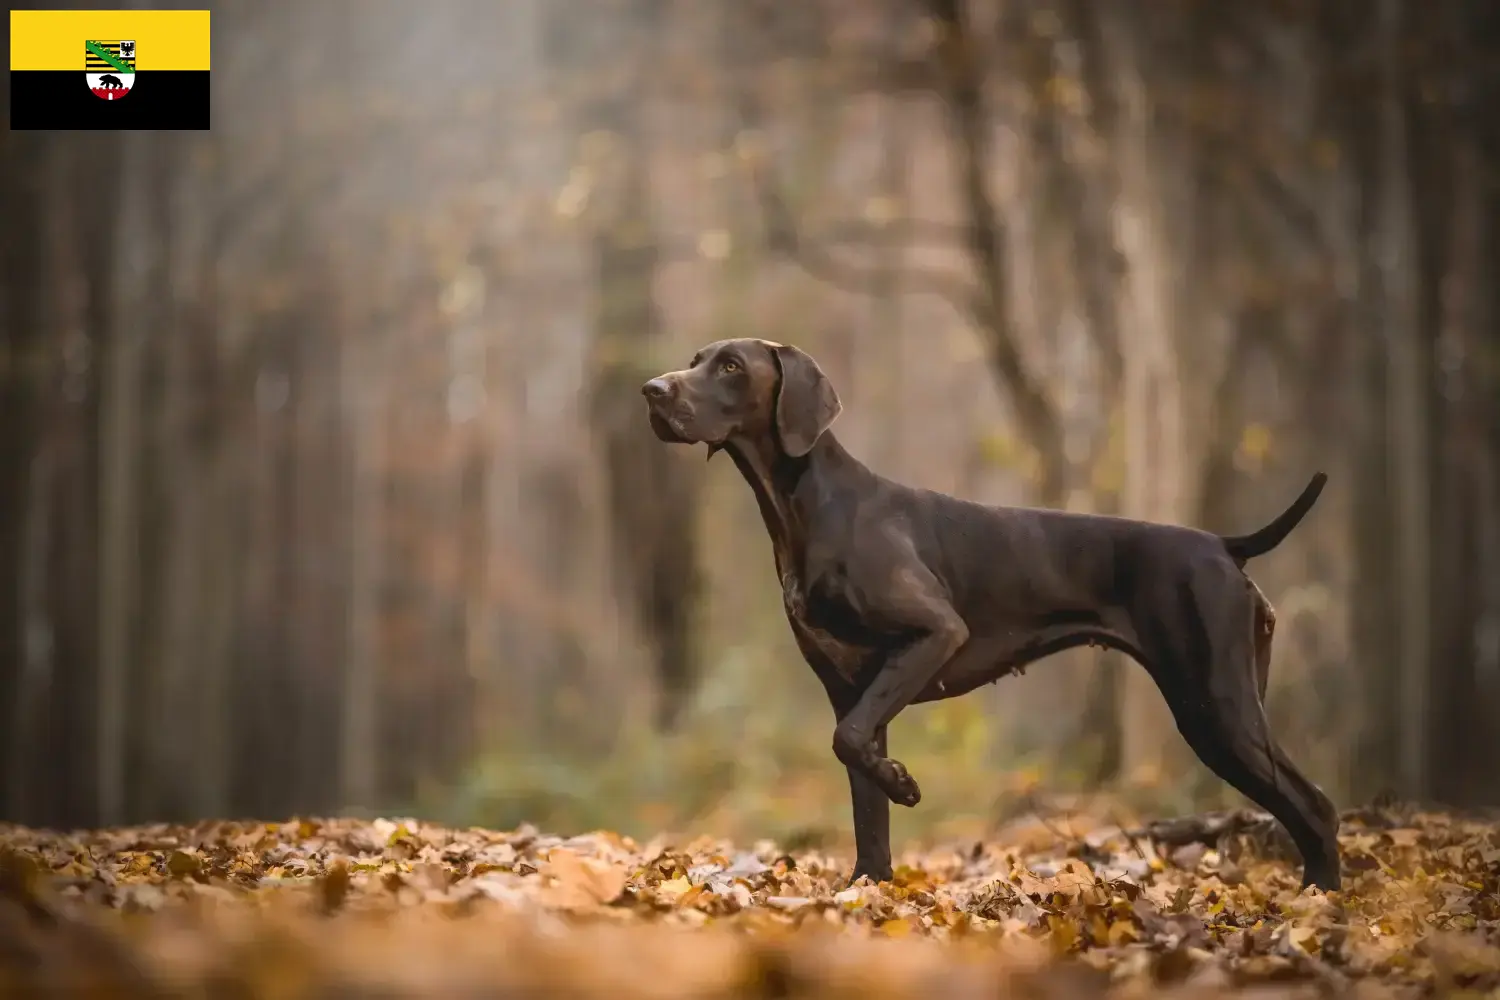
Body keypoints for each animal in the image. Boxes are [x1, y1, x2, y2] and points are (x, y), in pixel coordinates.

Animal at [639, 338, 1344, 893]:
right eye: (696, 360)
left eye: (731, 366)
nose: (651, 390)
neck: (806, 506)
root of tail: (1225, 545)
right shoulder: (851, 688)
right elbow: (864, 796)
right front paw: (868, 888)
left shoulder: (934, 634)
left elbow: (851, 745)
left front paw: (903, 785)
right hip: (1234, 702)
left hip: (1215, 707)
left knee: (1314, 805)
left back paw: (1320, 903)